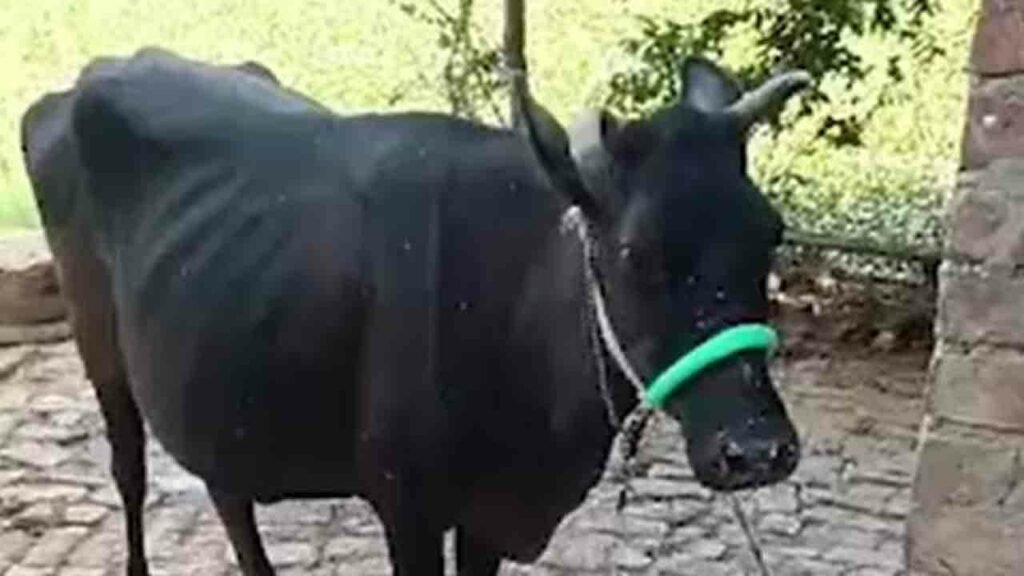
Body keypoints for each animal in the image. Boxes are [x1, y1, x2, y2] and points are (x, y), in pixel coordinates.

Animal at [20, 47, 809, 575]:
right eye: (637, 253)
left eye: (769, 233)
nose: (757, 450)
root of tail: (93, 75)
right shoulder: (409, 506)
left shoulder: (490, 517)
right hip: (99, 344)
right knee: (129, 468)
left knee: (227, 488)